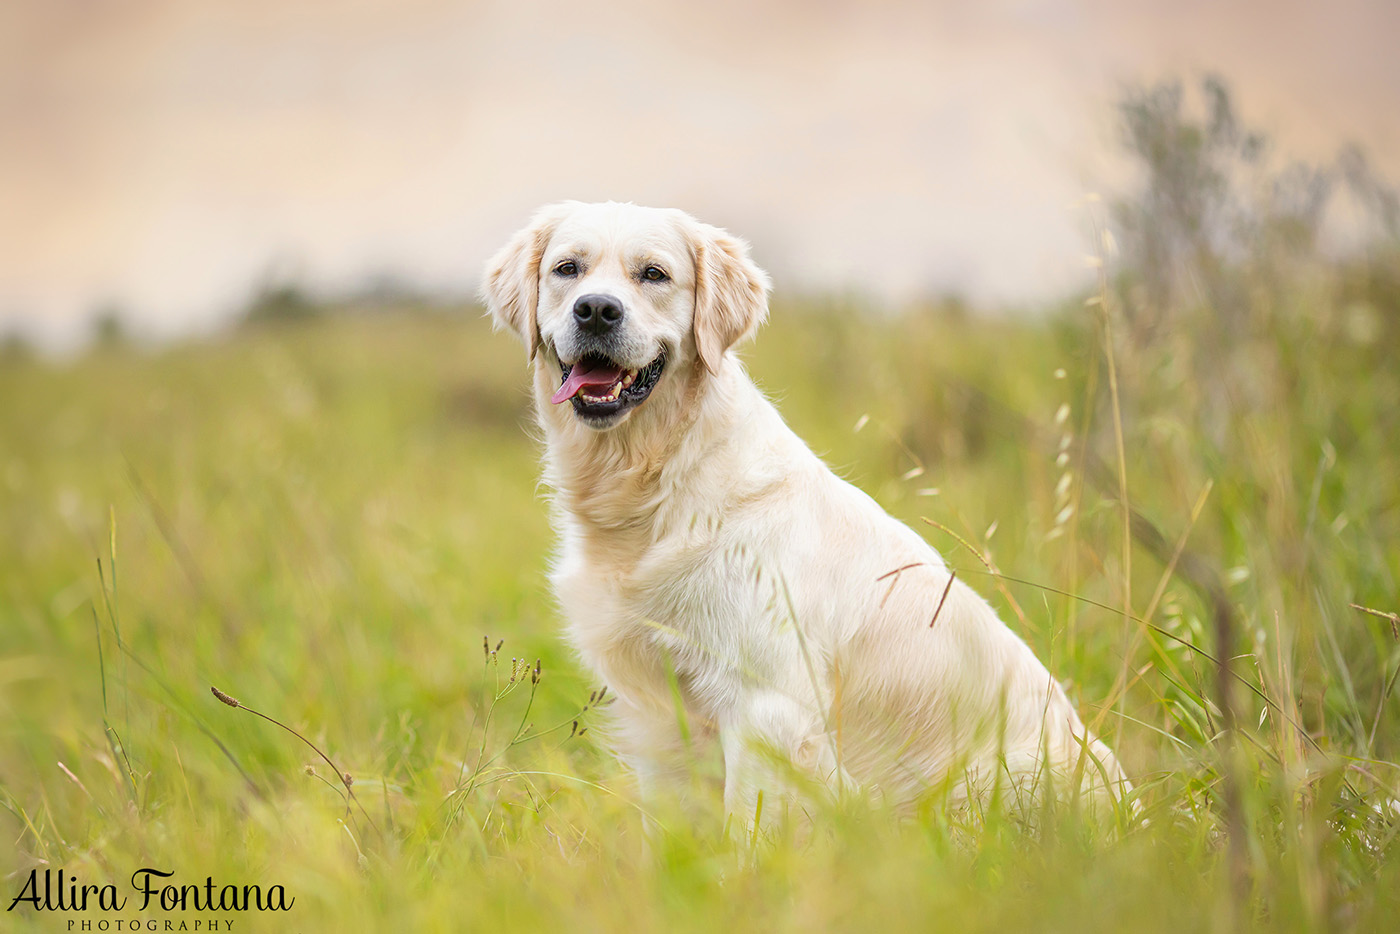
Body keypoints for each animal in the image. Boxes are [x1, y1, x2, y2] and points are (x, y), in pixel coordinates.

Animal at [481, 198, 1125, 823]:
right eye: (568, 269)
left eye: (654, 274)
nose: (596, 310)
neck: (659, 479)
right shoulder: (660, 715)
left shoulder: (767, 708)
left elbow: (748, 829)